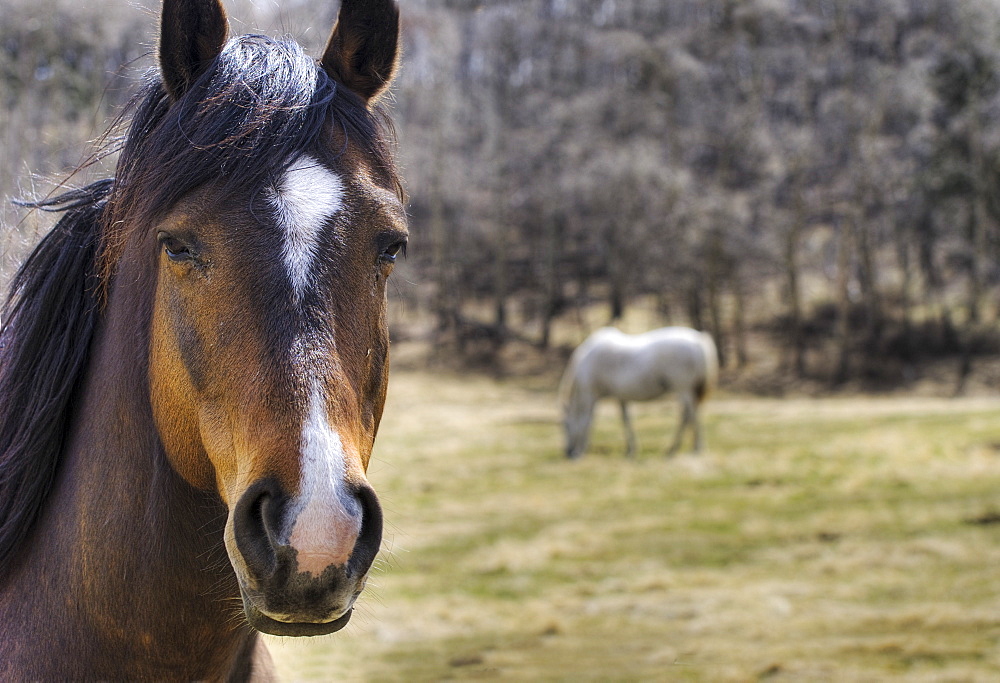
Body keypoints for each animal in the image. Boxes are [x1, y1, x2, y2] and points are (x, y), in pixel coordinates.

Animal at [560, 328, 716, 460]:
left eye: (565, 426)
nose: (568, 452)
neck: (585, 361)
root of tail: (698, 339)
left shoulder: (590, 395)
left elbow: (586, 421)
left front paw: (579, 452)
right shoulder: (621, 397)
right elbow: (625, 420)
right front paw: (631, 450)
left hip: (683, 389)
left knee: (691, 415)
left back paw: (695, 448)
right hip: (686, 391)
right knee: (687, 416)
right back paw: (674, 448)